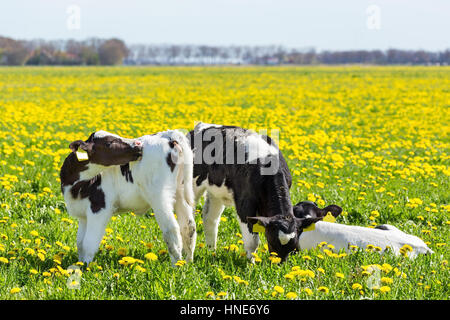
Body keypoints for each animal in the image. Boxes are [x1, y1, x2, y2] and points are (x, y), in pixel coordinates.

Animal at [60, 129, 195, 264]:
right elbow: (80, 243)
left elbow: (89, 243)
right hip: (180, 192)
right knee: (188, 226)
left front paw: (86, 266)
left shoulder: (99, 207)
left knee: (171, 228)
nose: (138, 144)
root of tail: (168, 135)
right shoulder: (82, 213)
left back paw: (176, 264)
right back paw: (187, 262)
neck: (74, 187)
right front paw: (80, 263)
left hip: (159, 196)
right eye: (109, 143)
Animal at [187, 121, 312, 262]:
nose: (279, 264)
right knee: (190, 222)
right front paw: (251, 263)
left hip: (216, 191)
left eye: (294, 246)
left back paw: (212, 252)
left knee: (210, 218)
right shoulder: (244, 205)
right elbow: (253, 241)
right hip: (192, 185)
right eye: (271, 241)